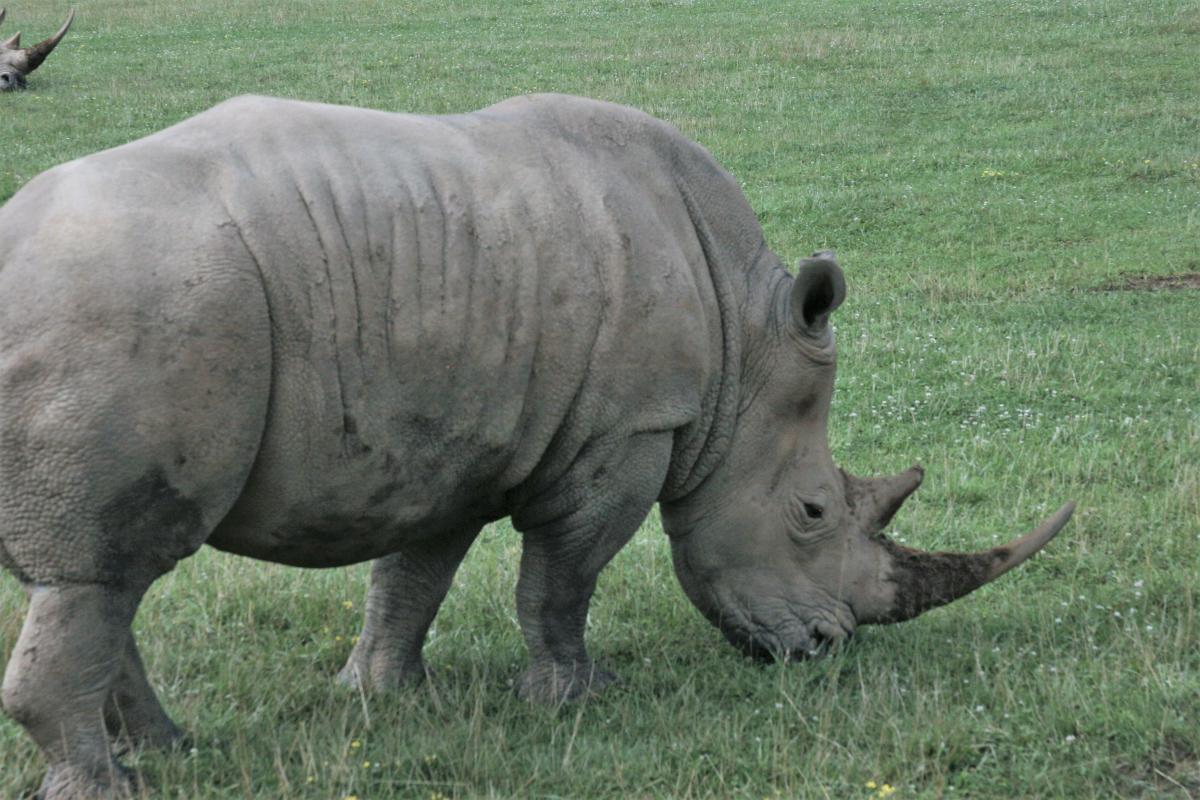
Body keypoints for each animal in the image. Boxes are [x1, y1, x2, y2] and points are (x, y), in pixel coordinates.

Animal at [0, 95, 1075, 800]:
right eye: (813, 512)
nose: (821, 650)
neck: (744, 343)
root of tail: (14, 248)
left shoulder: (441, 445)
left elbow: (411, 578)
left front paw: (385, 697)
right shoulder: (631, 429)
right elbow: (561, 578)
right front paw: (575, 699)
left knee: (105, 576)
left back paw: (172, 753)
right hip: (129, 313)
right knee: (109, 569)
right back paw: (117, 785)